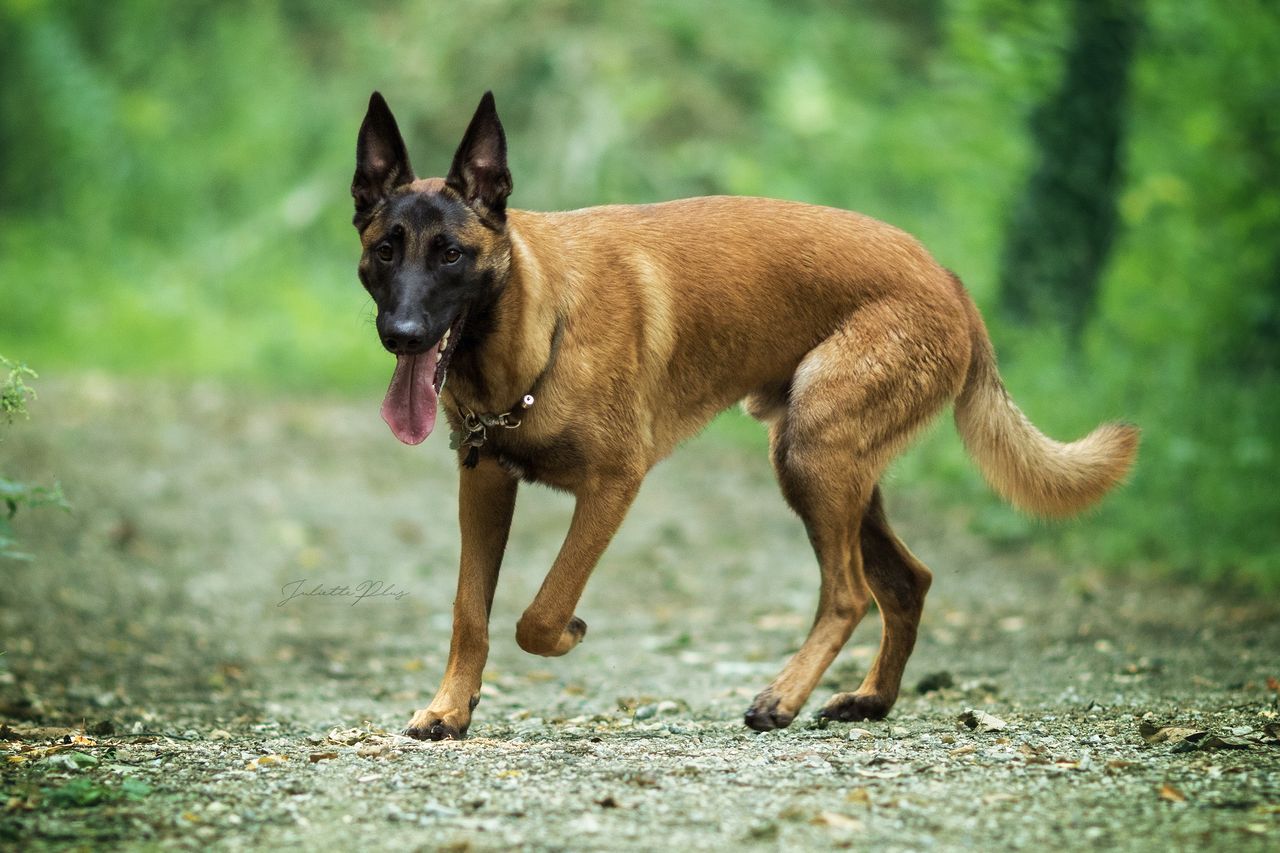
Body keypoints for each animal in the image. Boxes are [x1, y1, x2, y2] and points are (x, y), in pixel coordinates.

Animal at [350, 87, 1141, 737]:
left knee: (849, 593)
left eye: (450, 254)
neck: (539, 323)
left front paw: (566, 631)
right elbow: (470, 612)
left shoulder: (612, 485)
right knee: (906, 581)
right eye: (386, 251)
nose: (404, 336)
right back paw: (871, 699)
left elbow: (540, 615)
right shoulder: (484, 485)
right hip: (834, 469)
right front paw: (451, 707)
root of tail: (949, 280)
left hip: (811, 456)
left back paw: (783, 697)